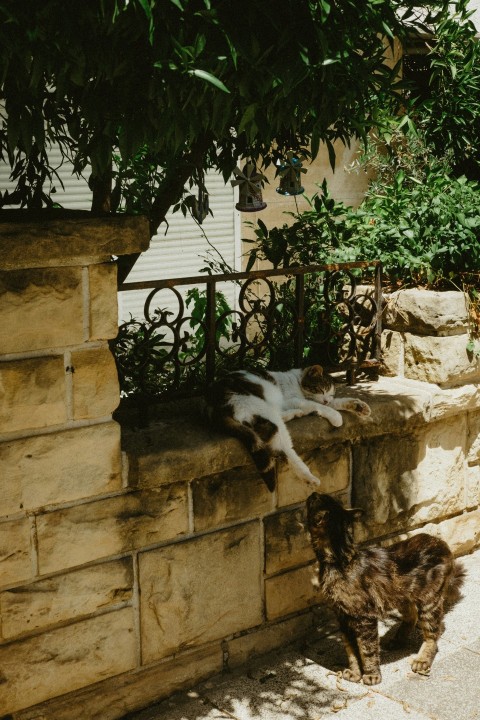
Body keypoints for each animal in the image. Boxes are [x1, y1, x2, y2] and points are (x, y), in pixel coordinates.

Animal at [207, 368, 372, 492]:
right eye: (321, 389)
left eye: (330, 393)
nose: (326, 399)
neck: (297, 382)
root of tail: (212, 407)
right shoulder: (293, 399)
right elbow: (319, 406)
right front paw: (336, 417)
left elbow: (333, 403)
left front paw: (358, 406)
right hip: (259, 407)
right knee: (283, 447)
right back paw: (308, 477)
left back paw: (296, 413)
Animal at [306, 492, 466, 684]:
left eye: (317, 499)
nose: (313, 493)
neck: (339, 559)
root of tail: (441, 542)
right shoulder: (342, 617)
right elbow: (351, 649)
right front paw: (355, 673)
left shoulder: (364, 617)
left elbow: (366, 649)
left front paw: (371, 675)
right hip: (401, 596)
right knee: (412, 617)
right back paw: (397, 640)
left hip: (429, 601)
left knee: (433, 634)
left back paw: (421, 660)